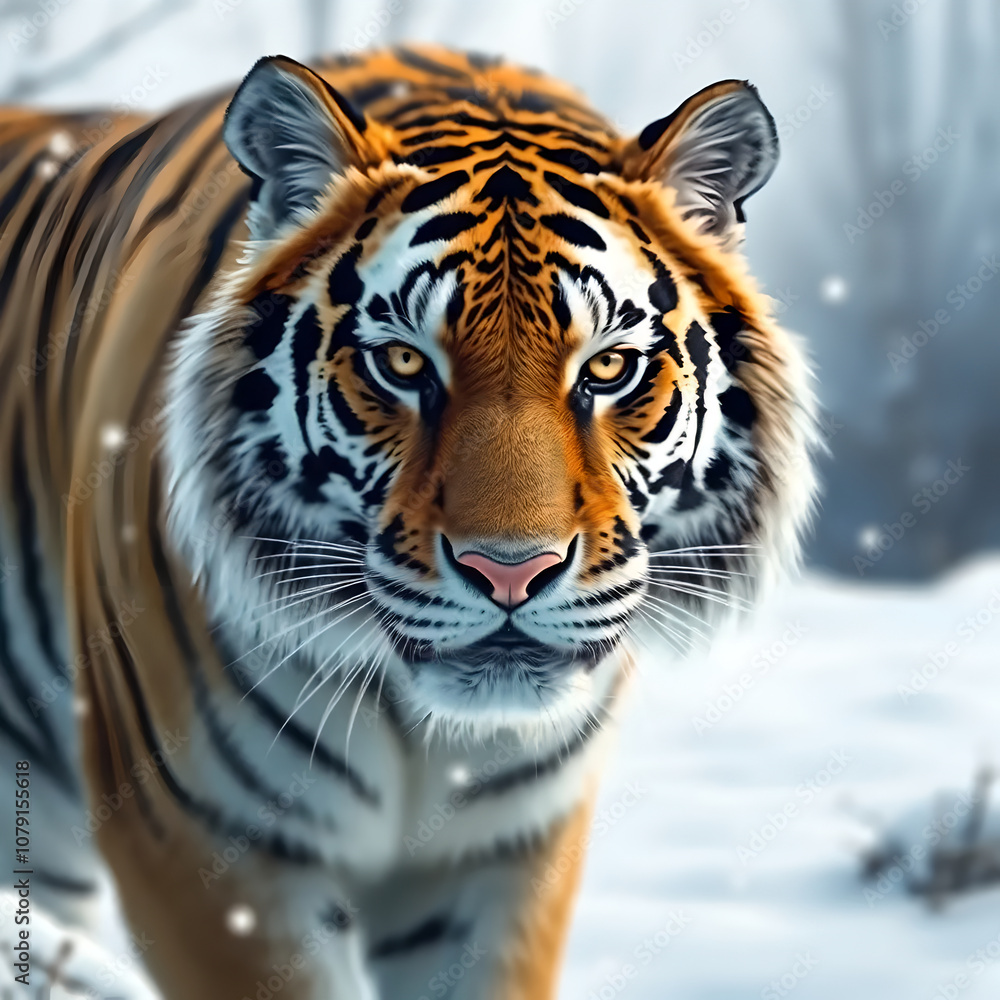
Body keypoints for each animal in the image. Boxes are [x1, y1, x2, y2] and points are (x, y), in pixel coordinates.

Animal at [0, 44, 814, 1000]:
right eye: (401, 362)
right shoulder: (203, 839)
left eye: (609, 368)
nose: (511, 572)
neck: (423, 727)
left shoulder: (500, 855)